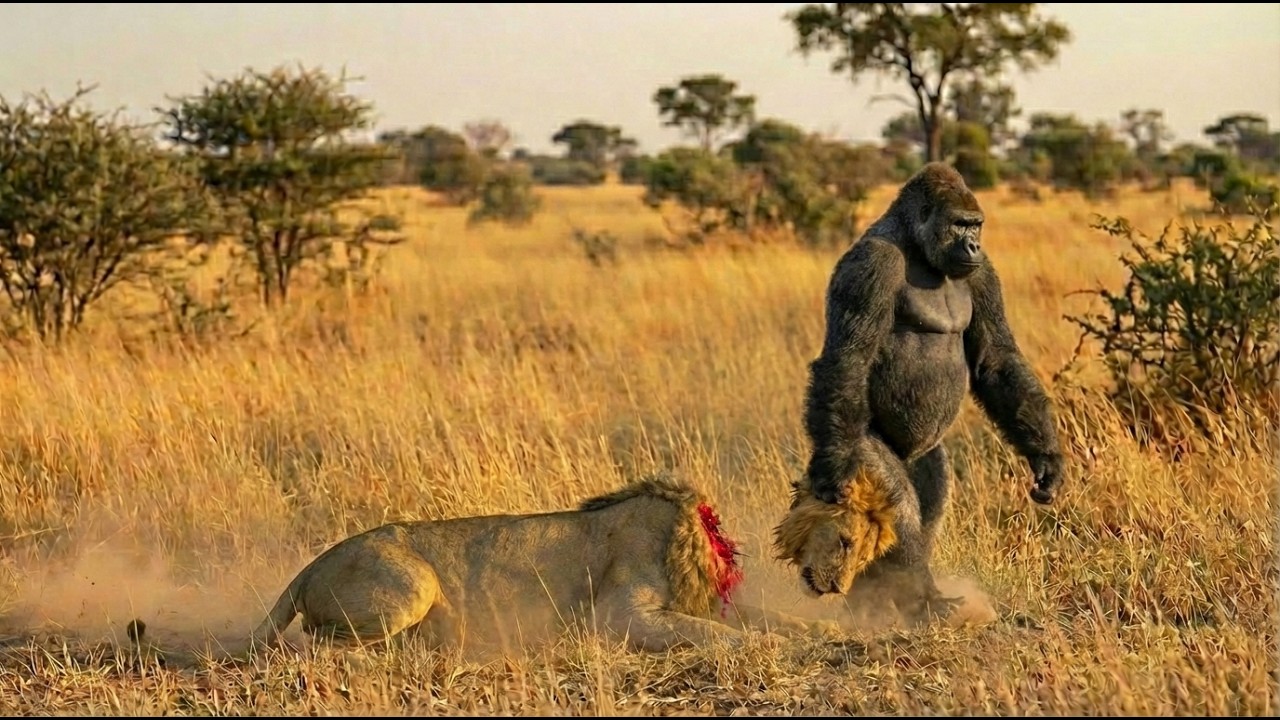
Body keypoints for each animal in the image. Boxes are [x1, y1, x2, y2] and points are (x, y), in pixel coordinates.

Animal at [248, 473, 836, 656]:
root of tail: (309, 566)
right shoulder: (618, 618)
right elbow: (710, 631)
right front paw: (765, 644)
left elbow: (765, 617)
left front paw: (819, 629)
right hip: (416, 583)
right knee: (318, 644)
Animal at [798, 162, 1065, 625]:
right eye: (959, 224)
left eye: (976, 225)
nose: (974, 244)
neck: (916, 244)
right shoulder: (870, 266)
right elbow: (848, 359)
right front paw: (830, 469)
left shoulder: (984, 272)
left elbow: (996, 360)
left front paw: (1044, 455)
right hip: (862, 441)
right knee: (898, 496)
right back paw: (914, 594)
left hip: (927, 452)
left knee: (931, 497)